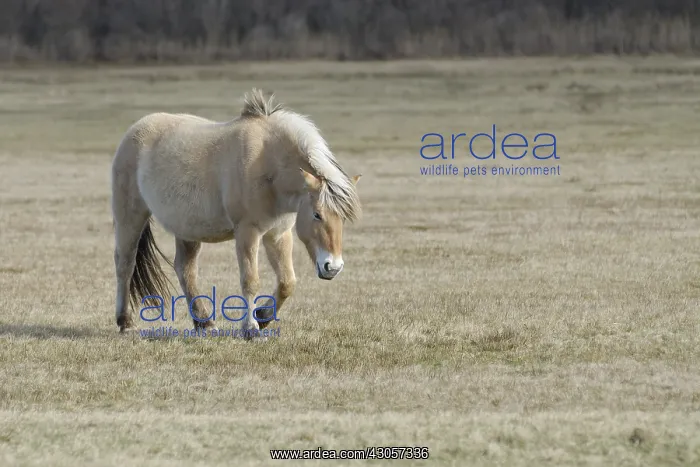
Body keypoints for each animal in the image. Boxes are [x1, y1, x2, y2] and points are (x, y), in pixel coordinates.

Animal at [110, 89, 361, 338]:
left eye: (343, 218)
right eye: (317, 214)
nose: (333, 267)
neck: (267, 163)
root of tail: (134, 131)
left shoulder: (278, 234)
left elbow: (287, 282)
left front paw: (263, 317)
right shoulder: (248, 232)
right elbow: (250, 281)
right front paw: (250, 328)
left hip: (187, 231)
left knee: (185, 270)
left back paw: (204, 323)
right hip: (130, 217)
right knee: (125, 264)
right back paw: (126, 322)